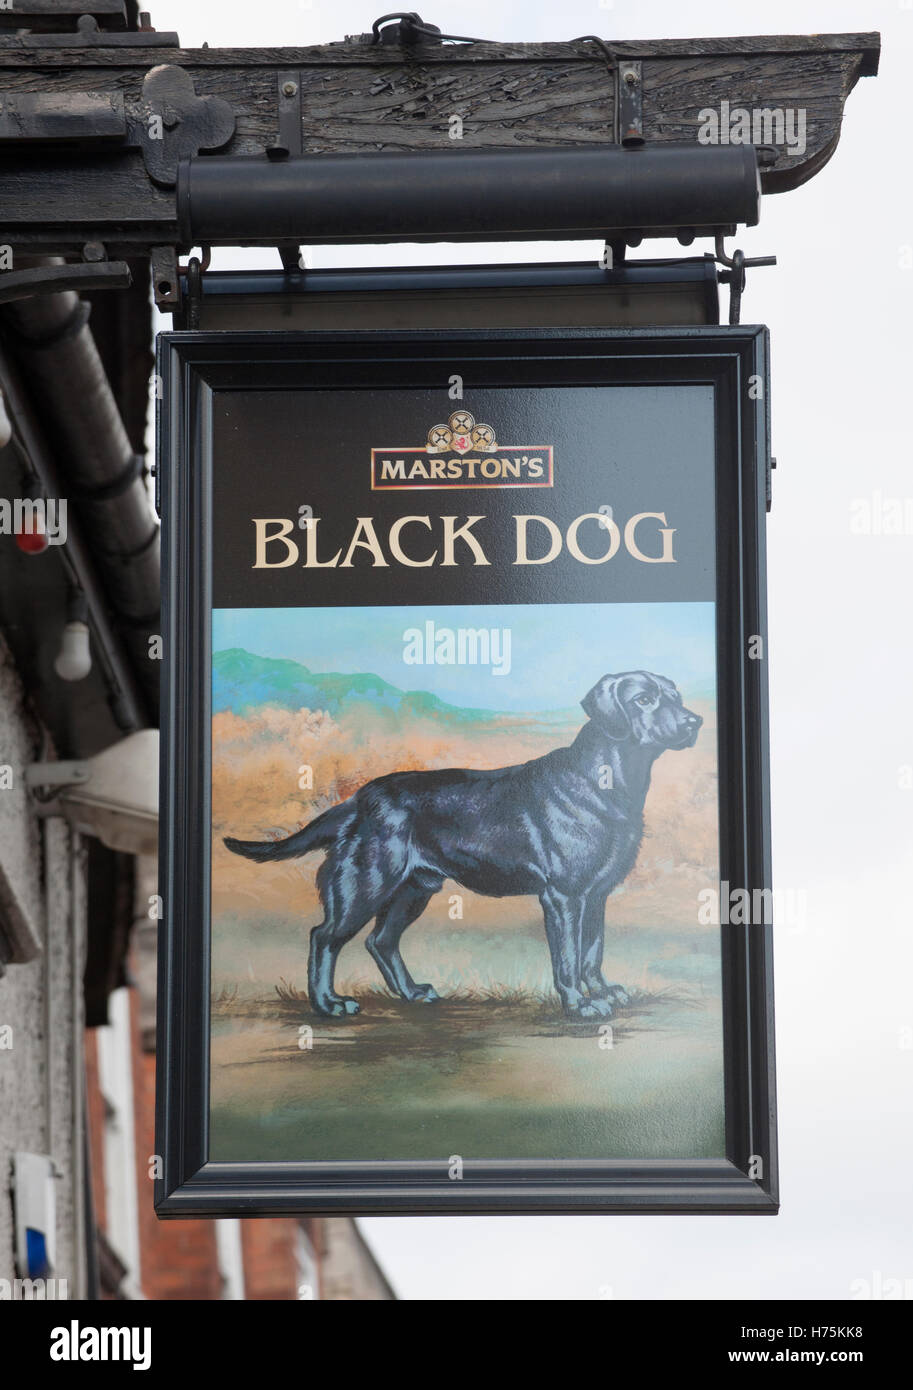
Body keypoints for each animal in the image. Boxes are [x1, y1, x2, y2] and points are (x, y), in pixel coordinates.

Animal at [223, 667, 700, 1017]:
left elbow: (593, 952)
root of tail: (361, 797)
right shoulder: (563, 896)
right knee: (323, 937)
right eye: (643, 699)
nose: (694, 721)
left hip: (415, 888)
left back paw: (412, 993)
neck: (608, 782)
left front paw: (604, 991)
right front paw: (580, 1005)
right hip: (366, 883)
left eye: (675, 696)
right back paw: (328, 1005)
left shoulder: (596, 894)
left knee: (381, 941)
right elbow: (567, 957)